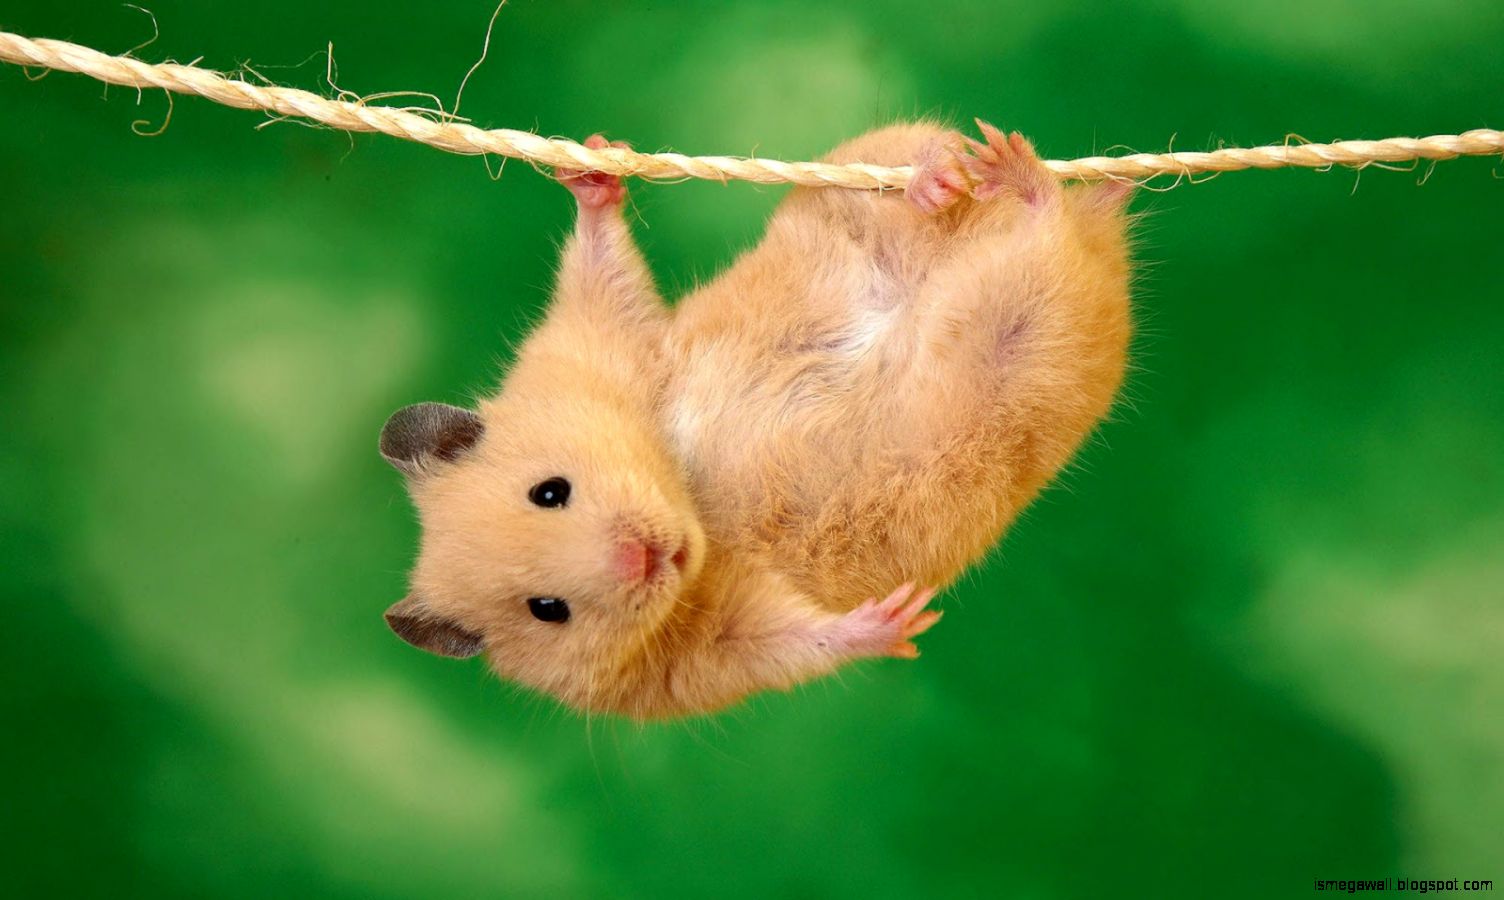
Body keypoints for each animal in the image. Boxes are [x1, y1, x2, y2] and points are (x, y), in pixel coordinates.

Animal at [379, 122, 1133, 719]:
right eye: (548, 610)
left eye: (549, 491)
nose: (647, 557)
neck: (691, 501)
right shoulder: (704, 657)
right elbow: (795, 642)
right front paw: (899, 620)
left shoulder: (605, 343)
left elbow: (603, 270)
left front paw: (593, 165)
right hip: (1028, 337)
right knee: (1049, 239)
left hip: (856, 199)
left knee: (914, 166)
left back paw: (962, 173)